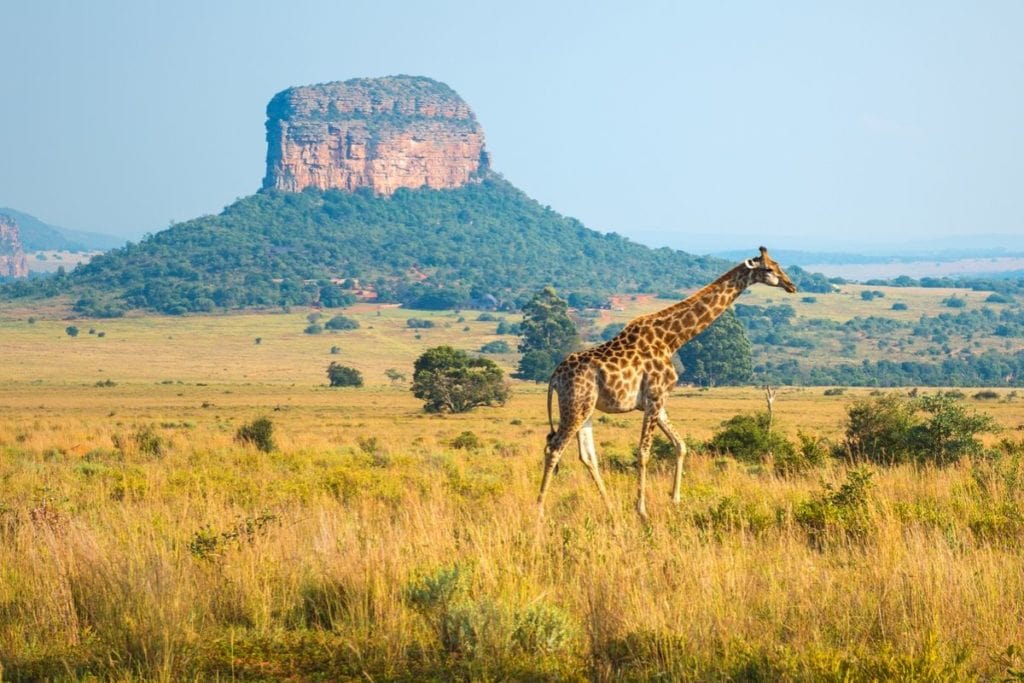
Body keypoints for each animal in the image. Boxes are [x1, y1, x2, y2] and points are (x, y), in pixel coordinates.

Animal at [536, 245, 798, 518]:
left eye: (778, 265)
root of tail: (555, 376)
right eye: (768, 269)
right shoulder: (654, 397)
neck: (672, 340)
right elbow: (643, 452)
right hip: (576, 405)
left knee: (587, 456)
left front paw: (675, 500)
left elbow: (680, 445)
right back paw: (540, 510)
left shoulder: (658, 401)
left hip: (585, 408)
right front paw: (642, 510)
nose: (791, 285)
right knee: (554, 448)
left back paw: (610, 507)